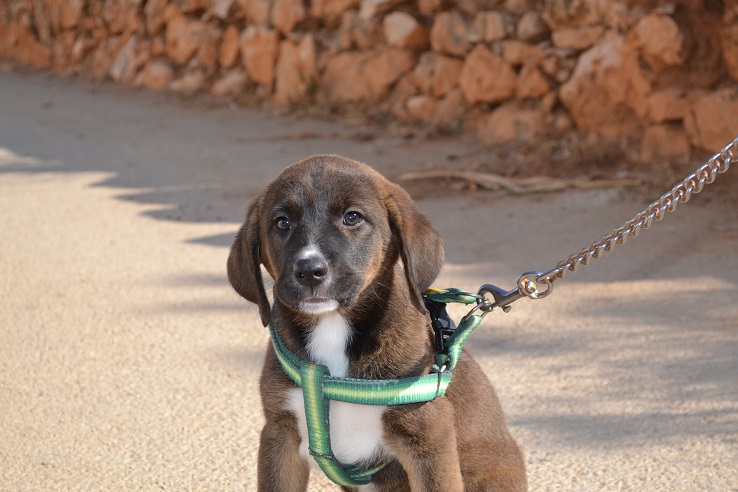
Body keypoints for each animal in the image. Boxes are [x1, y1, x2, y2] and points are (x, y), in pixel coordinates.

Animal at [228, 154, 527, 491]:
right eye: (282, 222)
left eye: (352, 218)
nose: (309, 271)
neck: (332, 328)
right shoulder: (280, 433)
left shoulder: (428, 436)